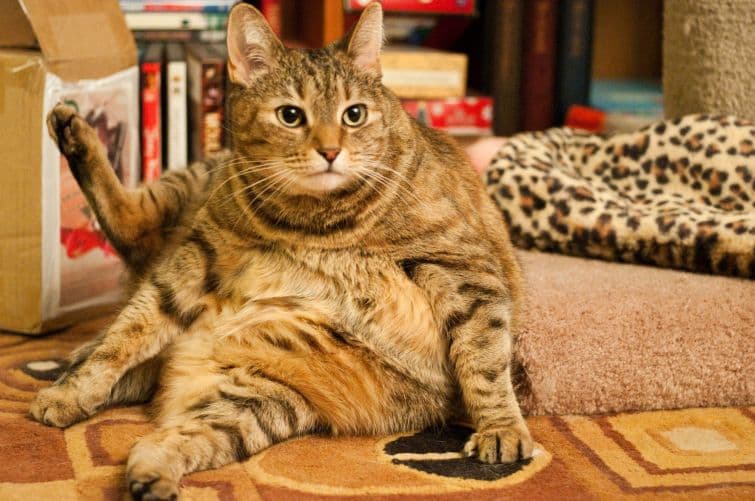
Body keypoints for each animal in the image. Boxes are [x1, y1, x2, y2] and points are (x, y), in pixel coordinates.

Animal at [31, 2, 532, 496]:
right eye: (291, 115)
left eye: (354, 114)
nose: (330, 151)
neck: (312, 222)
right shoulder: (194, 259)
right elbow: (122, 339)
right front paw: (71, 393)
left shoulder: (465, 267)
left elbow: (485, 359)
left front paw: (501, 427)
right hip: (200, 181)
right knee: (132, 241)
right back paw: (71, 128)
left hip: (256, 402)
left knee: (165, 439)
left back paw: (152, 478)